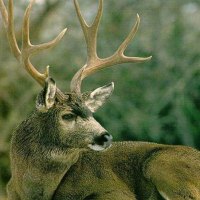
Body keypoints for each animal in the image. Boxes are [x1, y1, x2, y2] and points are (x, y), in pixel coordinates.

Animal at [0, 0, 200, 199]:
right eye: (67, 115)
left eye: (91, 113)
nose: (106, 136)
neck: (30, 190)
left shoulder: (116, 191)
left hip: (161, 165)